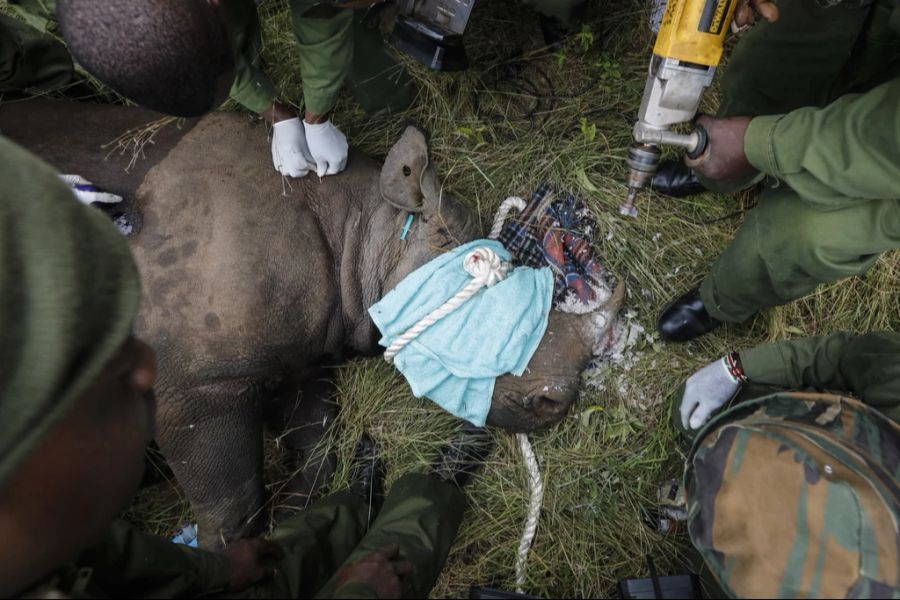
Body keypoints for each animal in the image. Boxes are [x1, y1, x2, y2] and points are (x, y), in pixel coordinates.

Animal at [0, 102, 624, 548]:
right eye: (477, 274)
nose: (559, 401)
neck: (361, 229)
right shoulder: (196, 382)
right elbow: (233, 500)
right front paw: (229, 553)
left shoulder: (299, 355)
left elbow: (322, 446)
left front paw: (299, 515)